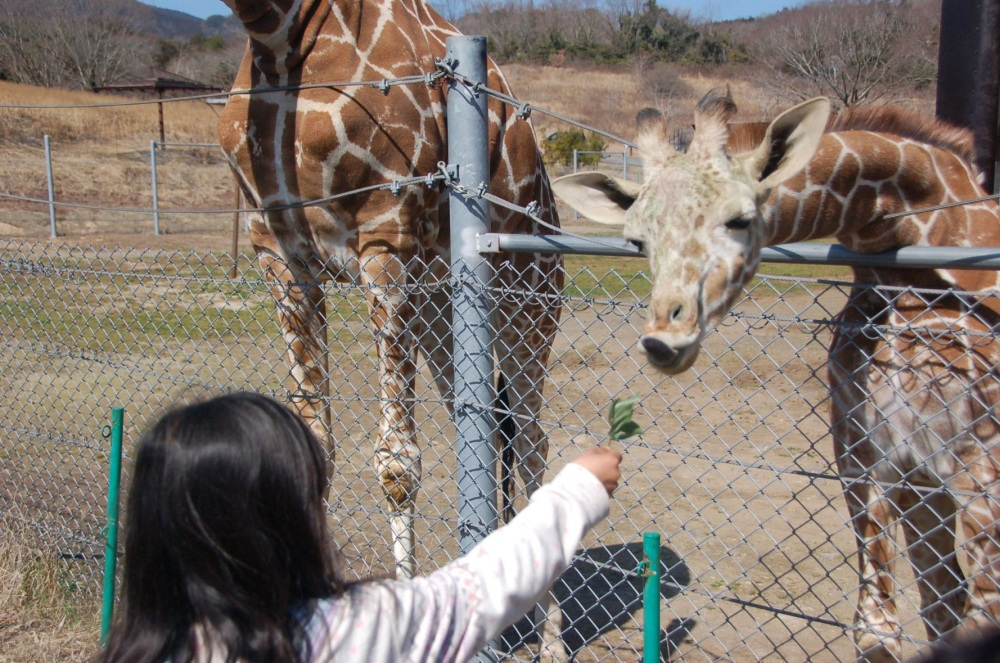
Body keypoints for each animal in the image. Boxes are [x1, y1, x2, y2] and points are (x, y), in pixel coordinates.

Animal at [214, 0, 564, 660]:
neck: (279, 34)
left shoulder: (387, 237)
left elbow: (398, 467)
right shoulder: (278, 250)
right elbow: (315, 449)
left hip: (530, 301)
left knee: (532, 442)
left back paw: (553, 642)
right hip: (440, 314)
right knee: (487, 426)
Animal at [552, 92, 1000, 660]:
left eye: (741, 219)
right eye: (636, 241)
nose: (662, 342)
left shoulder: (982, 473)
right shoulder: (871, 461)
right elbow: (881, 630)